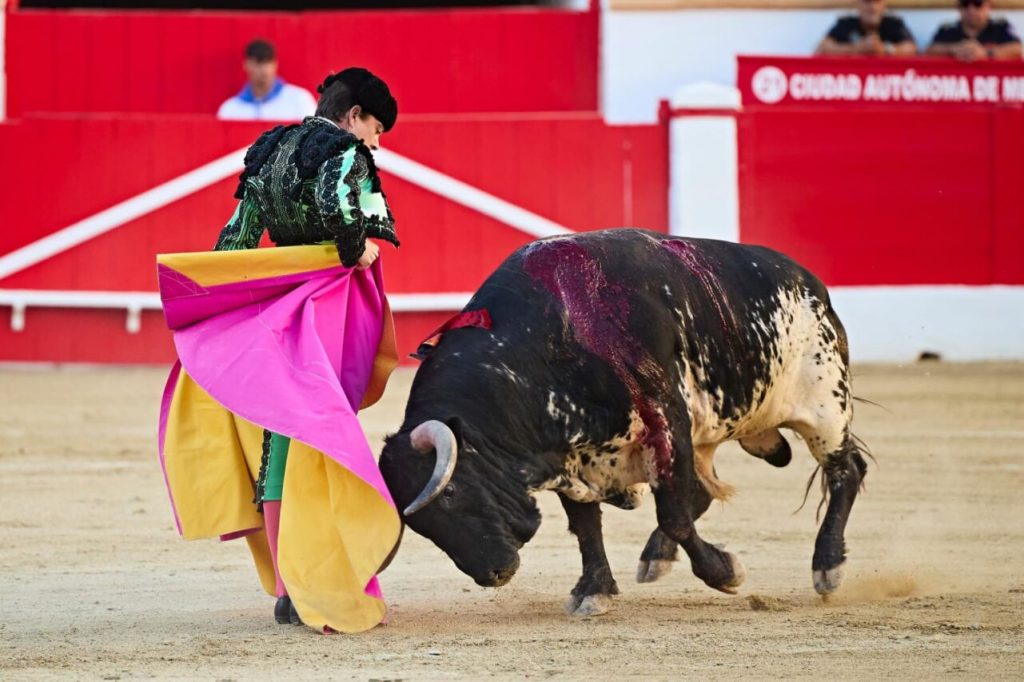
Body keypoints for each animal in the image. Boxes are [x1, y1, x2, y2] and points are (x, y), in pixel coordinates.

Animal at [380, 228, 868, 614]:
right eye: (420, 526)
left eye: (451, 493)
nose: (493, 573)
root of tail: (812, 285)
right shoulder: (569, 450)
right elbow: (586, 526)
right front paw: (593, 590)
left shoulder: (666, 424)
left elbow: (673, 514)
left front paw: (725, 572)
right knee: (702, 490)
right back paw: (656, 557)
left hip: (825, 405)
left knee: (847, 470)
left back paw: (828, 567)